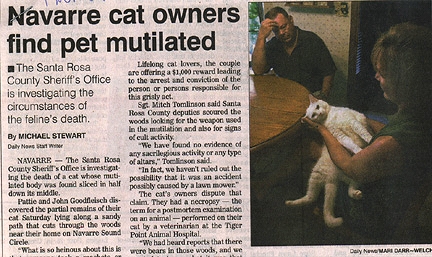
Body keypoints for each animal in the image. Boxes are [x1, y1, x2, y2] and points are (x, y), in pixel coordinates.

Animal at [286, 95, 372, 227]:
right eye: (313, 115)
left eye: (317, 107)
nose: (320, 113)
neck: (329, 118)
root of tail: (332, 179)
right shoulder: (339, 136)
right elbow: (351, 144)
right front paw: (358, 151)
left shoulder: (353, 122)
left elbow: (363, 132)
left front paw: (371, 139)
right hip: (315, 176)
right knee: (311, 198)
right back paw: (289, 203)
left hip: (355, 177)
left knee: (349, 189)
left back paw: (357, 194)